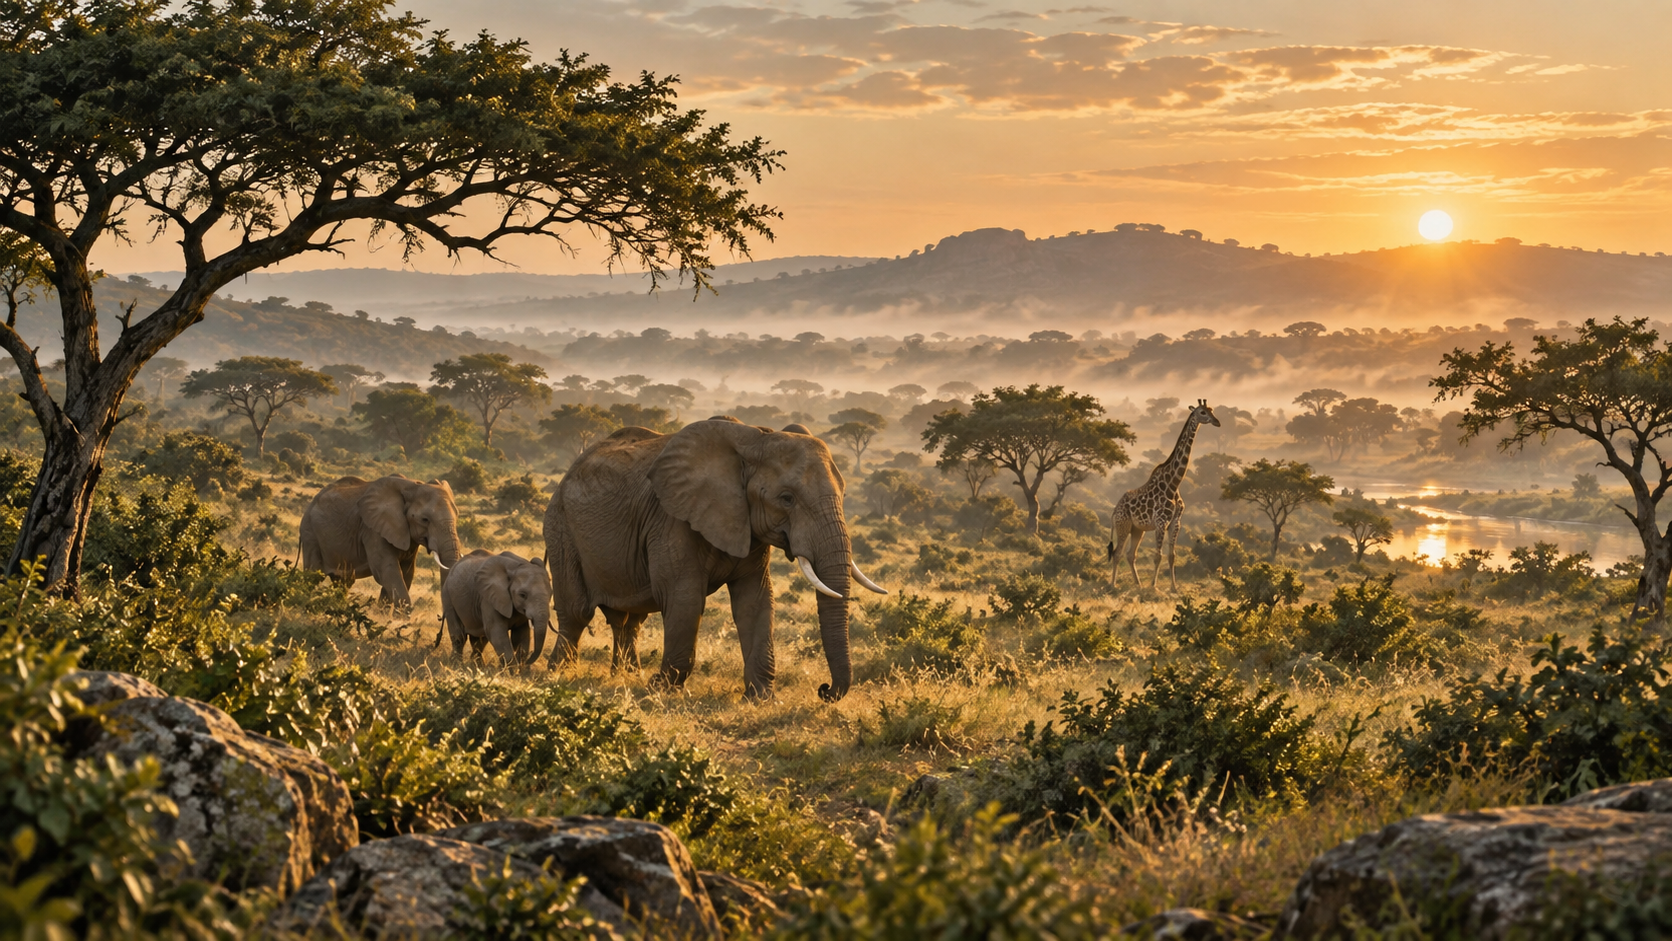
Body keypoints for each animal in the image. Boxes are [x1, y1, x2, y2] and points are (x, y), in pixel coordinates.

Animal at [299, 474, 463, 608]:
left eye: (457, 516)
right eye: (425, 520)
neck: (412, 485)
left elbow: (406, 571)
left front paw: (384, 613)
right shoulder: (372, 530)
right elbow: (386, 568)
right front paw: (401, 616)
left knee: (343, 581)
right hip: (310, 533)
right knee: (313, 574)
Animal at [543, 418, 888, 701]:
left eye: (844, 495)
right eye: (787, 499)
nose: (824, 689)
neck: (755, 439)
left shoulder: (748, 527)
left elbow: (755, 601)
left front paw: (760, 698)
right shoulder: (672, 519)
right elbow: (684, 598)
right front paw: (660, 689)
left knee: (628, 618)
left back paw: (627, 675)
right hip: (560, 528)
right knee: (576, 611)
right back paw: (561, 673)